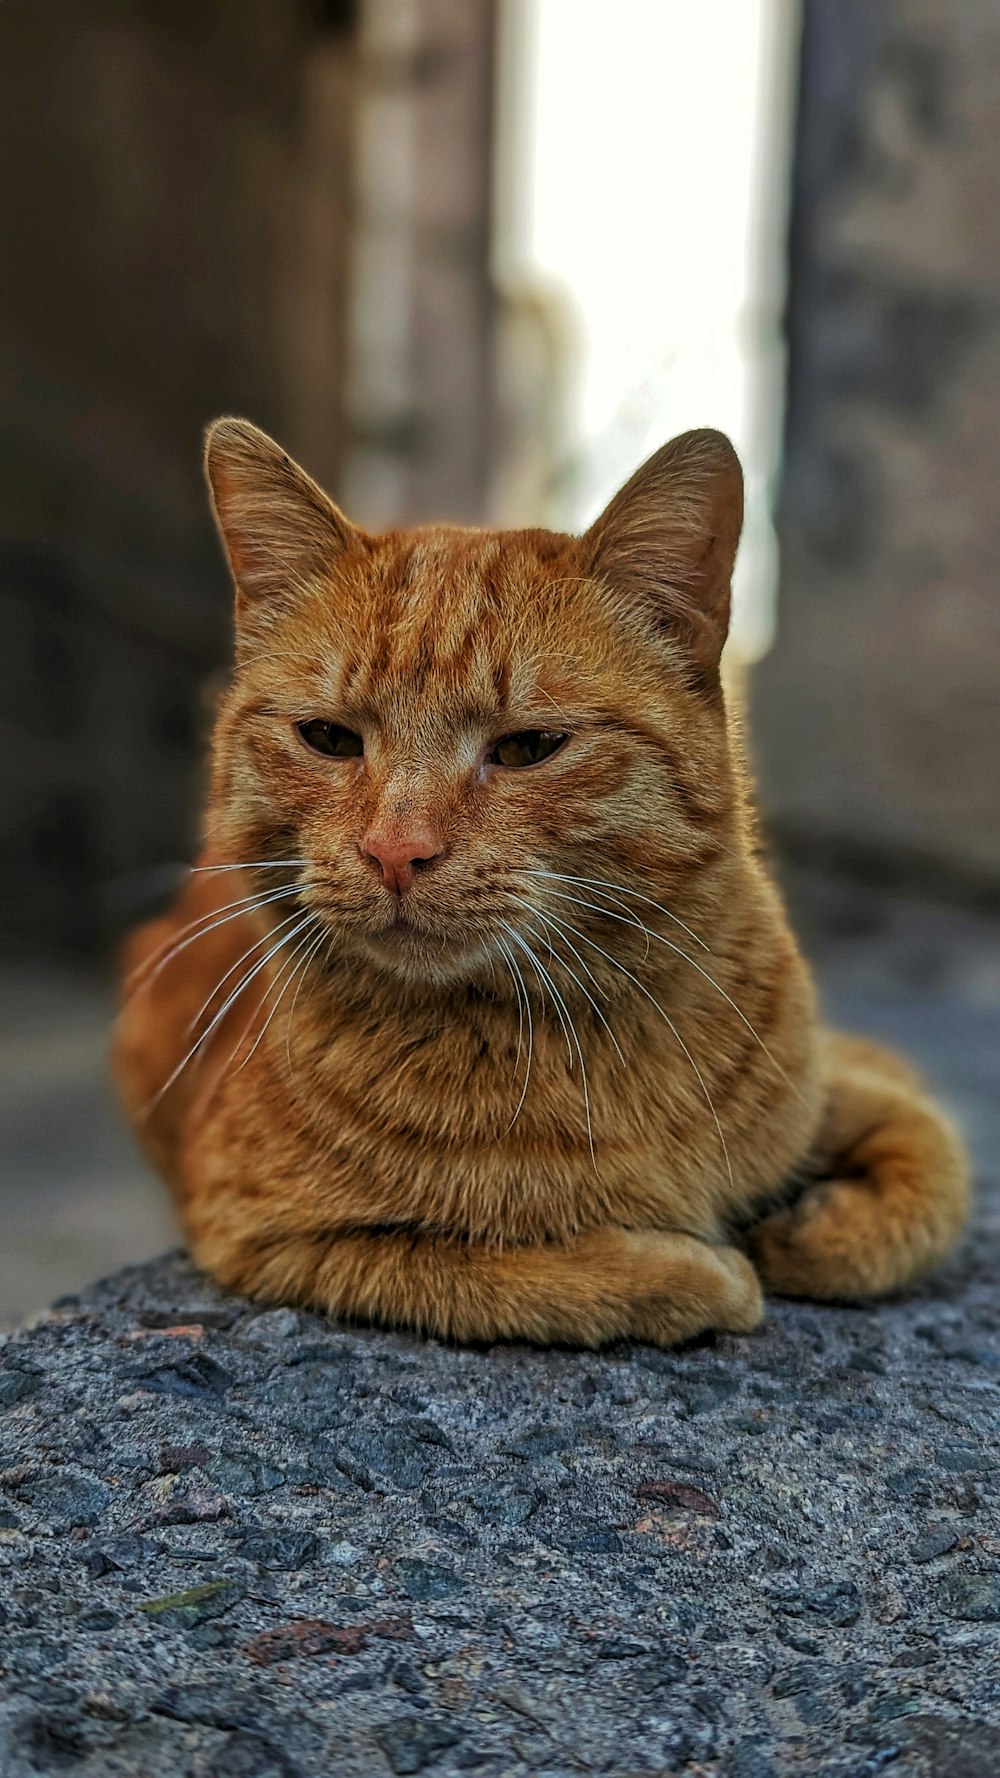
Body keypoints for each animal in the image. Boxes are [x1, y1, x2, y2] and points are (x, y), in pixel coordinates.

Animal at [110, 423, 967, 1344]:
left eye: (528, 748)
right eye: (330, 738)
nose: (396, 852)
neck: (584, 1035)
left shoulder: (833, 1079)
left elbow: (934, 1159)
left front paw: (814, 1231)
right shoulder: (264, 1237)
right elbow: (516, 1274)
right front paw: (704, 1269)